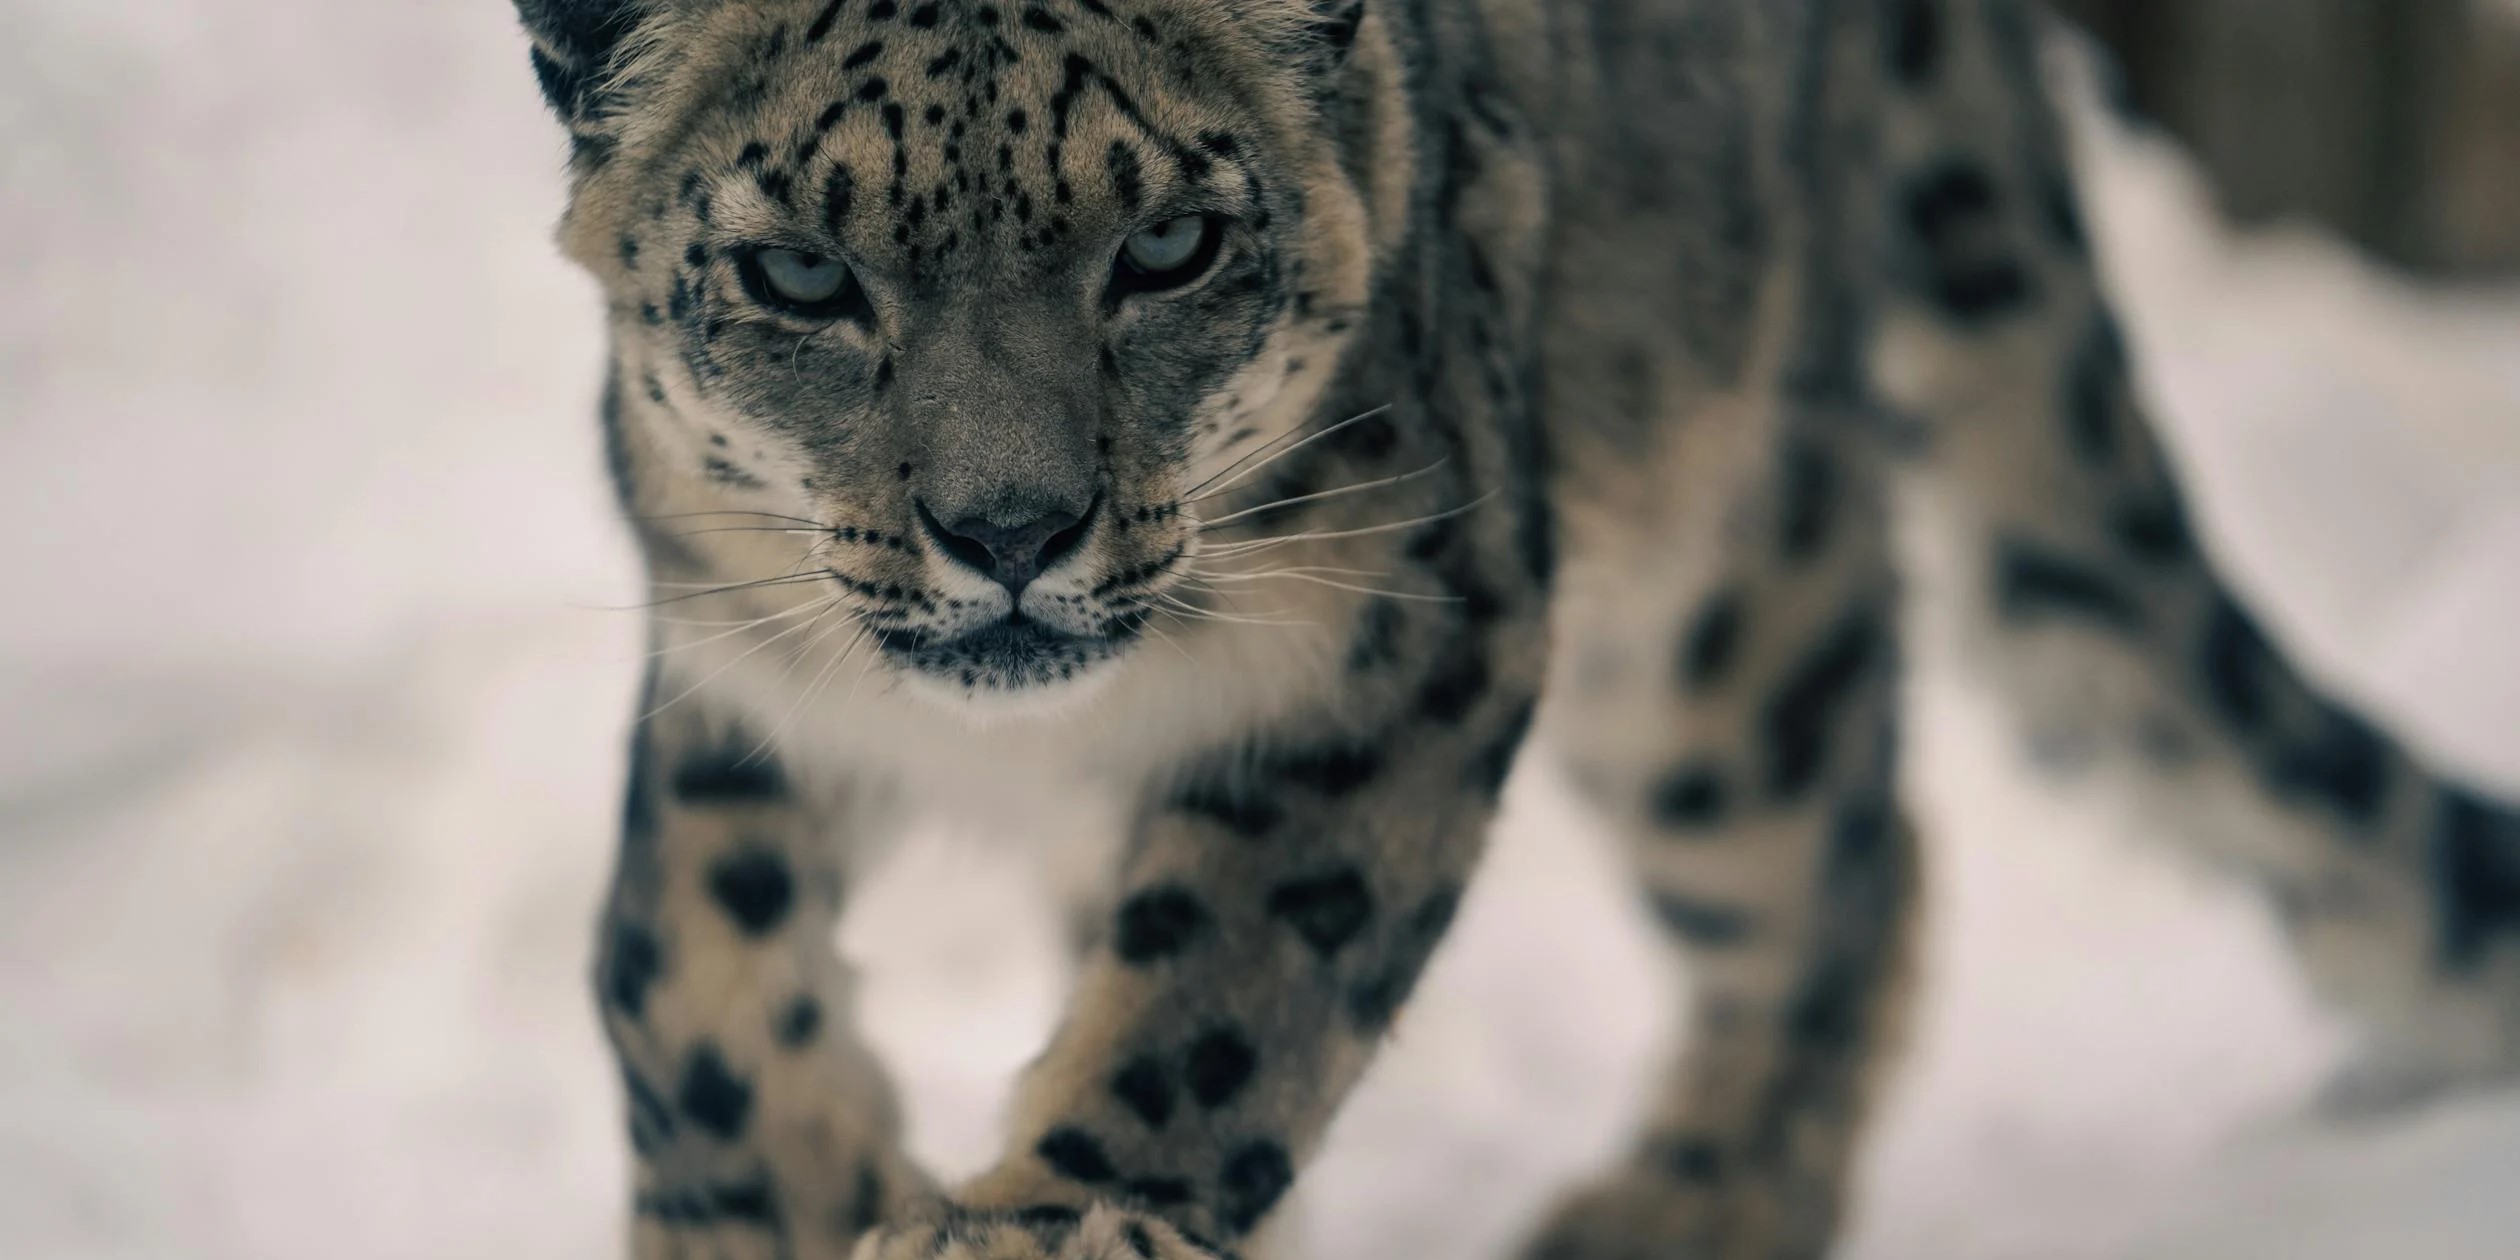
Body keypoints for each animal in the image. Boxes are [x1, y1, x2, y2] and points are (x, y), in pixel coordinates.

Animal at [511, 1, 2520, 1257]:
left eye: (1166, 247)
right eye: (798, 271)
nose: (1010, 530)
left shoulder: (1396, 633)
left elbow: (1230, 979)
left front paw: (1040, 1225)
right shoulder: (738, 665)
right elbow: (673, 962)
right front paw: (777, 1199)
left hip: (1716, 621)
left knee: (1855, 858)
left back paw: (1686, 1207)